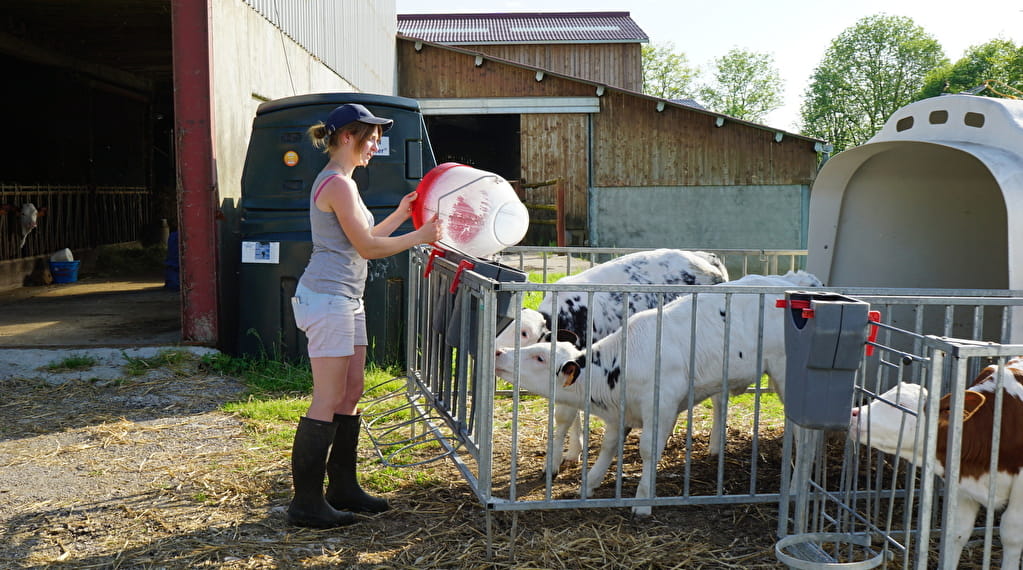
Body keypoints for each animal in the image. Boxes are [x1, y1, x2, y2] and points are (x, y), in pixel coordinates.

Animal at [491, 270, 818, 515]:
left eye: (539, 357)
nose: (499, 353)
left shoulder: (661, 406)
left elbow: (648, 449)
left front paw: (643, 500)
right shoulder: (619, 413)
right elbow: (609, 445)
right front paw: (589, 483)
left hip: (785, 374)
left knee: (804, 434)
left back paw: (795, 487)